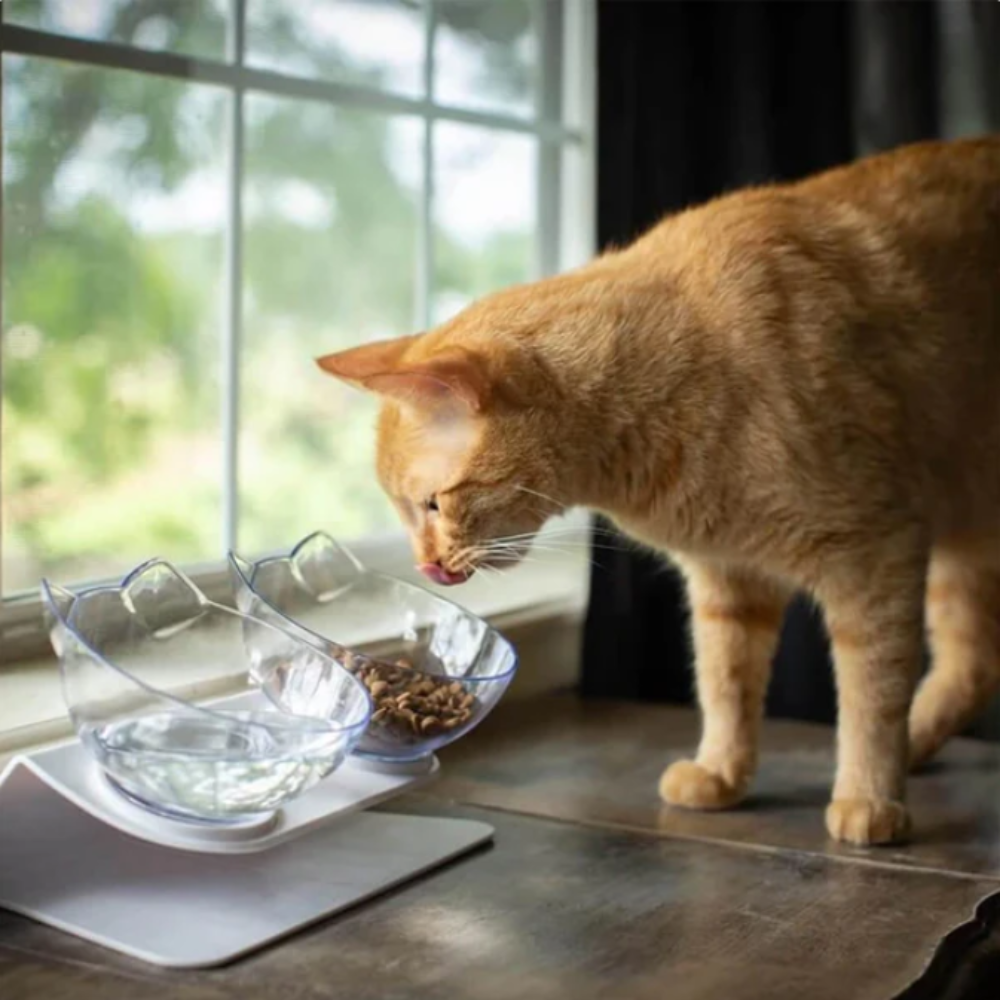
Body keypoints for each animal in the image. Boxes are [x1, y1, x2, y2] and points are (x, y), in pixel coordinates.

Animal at [318, 137, 1000, 844]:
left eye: (432, 504)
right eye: (404, 512)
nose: (425, 564)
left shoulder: (877, 556)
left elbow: (872, 692)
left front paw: (869, 796)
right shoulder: (727, 579)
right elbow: (725, 683)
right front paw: (722, 773)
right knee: (977, 664)